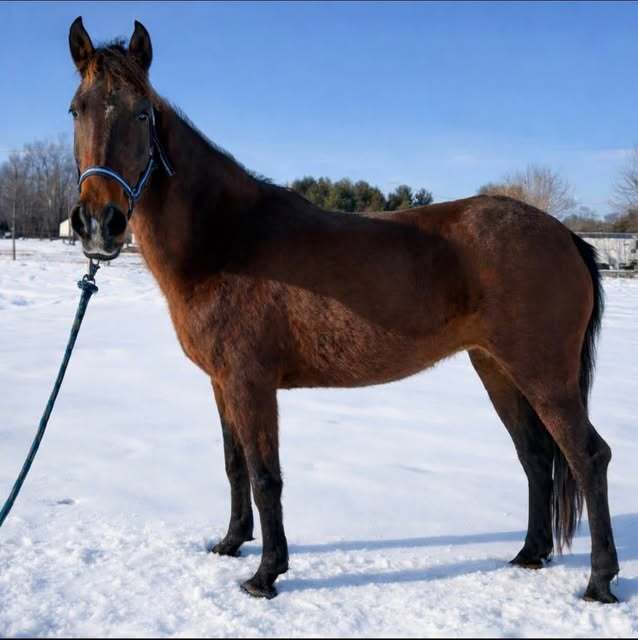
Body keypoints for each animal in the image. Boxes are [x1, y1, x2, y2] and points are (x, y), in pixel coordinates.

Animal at [67, 17, 619, 602]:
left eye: (142, 113)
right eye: (76, 108)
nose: (99, 223)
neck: (227, 237)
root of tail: (565, 236)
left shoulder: (250, 382)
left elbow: (265, 475)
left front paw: (265, 575)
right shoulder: (221, 382)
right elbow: (235, 465)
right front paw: (231, 543)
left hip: (542, 375)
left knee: (587, 456)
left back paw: (599, 582)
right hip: (496, 369)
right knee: (535, 457)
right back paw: (529, 555)